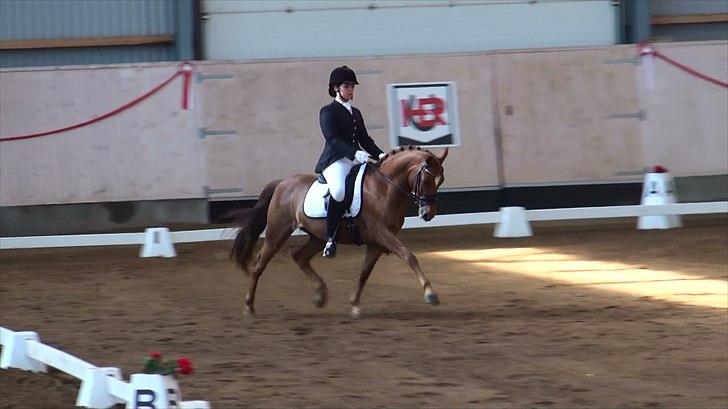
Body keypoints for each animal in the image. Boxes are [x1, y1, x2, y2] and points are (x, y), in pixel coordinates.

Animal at [229, 145, 449, 319]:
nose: (428, 214)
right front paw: (430, 294)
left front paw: (355, 305)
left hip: (318, 237)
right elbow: (409, 256)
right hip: (277, 233)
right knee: (259, 265)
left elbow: (364, 272)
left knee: (299, 256)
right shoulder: (382, 234)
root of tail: (282, 182)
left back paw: (320, 295)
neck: (384, 188)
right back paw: (249, 307)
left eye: (441, 180)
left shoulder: (376, 243)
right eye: (426, 179)